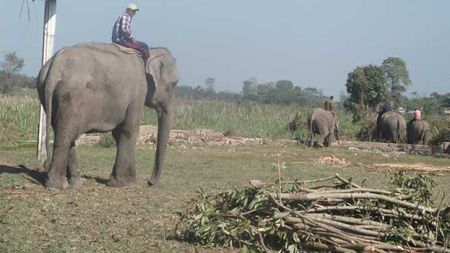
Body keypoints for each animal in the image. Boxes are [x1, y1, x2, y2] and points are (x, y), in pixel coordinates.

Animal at [37, 42, 178, 189]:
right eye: (174, 84)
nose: (149, 182)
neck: (150, 52)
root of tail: (55, 65)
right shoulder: (138, 92)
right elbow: (130, 129)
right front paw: (121, 184)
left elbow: (118, 133)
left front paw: (130, 182)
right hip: (71, 97)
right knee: (66, 134)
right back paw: (57, 185)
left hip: (47, 93)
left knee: (65, 132)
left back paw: (75, 184)